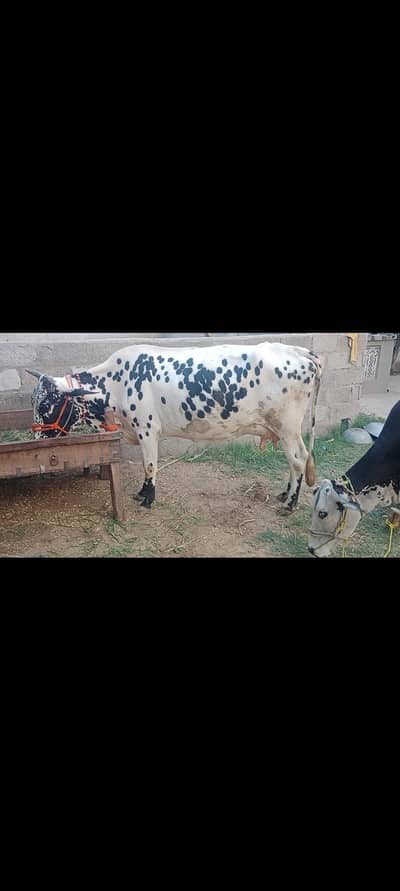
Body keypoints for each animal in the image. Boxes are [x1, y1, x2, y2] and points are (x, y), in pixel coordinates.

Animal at [26, 340, 323, 510]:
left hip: (288, 426)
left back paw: (290, 503)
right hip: (286, 429)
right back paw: (284, 495)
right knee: (296, 460)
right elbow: (146, 466)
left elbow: (149, 465)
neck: (116, 382)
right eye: (34, 401)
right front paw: (142, 493)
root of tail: (298, 351)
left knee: (299, 459)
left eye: (47, 404)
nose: (37, 441)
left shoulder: (147, 429)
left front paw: (148, 498)